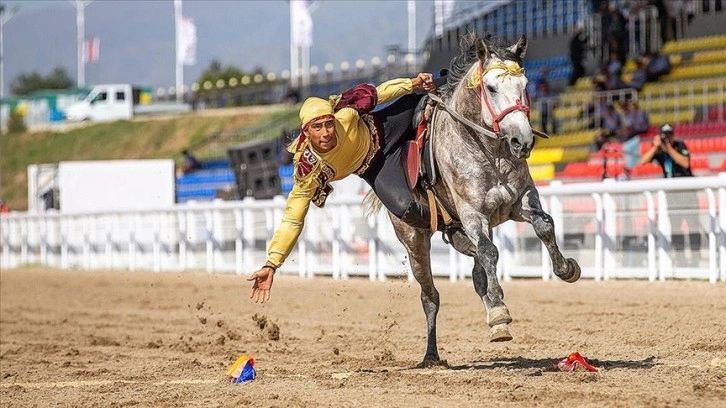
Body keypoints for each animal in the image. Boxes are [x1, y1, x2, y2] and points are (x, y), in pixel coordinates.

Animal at [366, 34, 584, 366]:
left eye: (525, 84)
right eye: (491, 88)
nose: (523, 141)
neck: (488, 151)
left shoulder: (520, 201)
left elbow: (544, 225)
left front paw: (565, 268)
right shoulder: (472, 214)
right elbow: (490, 252)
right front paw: (500, 312)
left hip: (461, 232)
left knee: (478, 273)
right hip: (415, 240)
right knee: (430, 295)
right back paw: (433, 354)